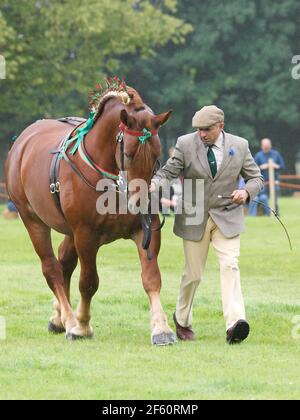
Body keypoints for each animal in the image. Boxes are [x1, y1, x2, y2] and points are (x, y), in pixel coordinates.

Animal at [5, 80, 176, 346]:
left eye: (157, 154)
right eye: (128, 154)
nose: (140, 202)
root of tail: (22, 142)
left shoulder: (144, 229)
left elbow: (151, 278)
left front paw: (161, 328)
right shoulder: (85, 234)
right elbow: (88, 282)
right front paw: (82, 325)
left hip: (69, 230)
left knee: (64, 262)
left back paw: (58, 318)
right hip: (32, 219)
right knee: (52, 268)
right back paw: (68, 319)